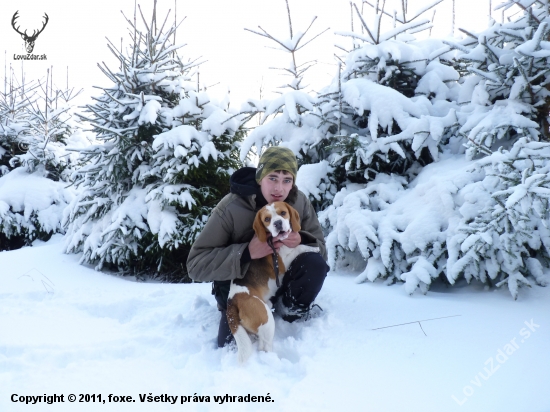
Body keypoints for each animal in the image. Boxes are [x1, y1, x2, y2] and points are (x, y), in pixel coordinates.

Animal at [227, 201, 322, 362]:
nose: (278, 223)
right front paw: (313, 248)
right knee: (265, 345)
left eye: (283, 213)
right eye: (267, 219)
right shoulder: (283, 263)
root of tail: (232, 302)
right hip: (267, 321)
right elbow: (299, 248)